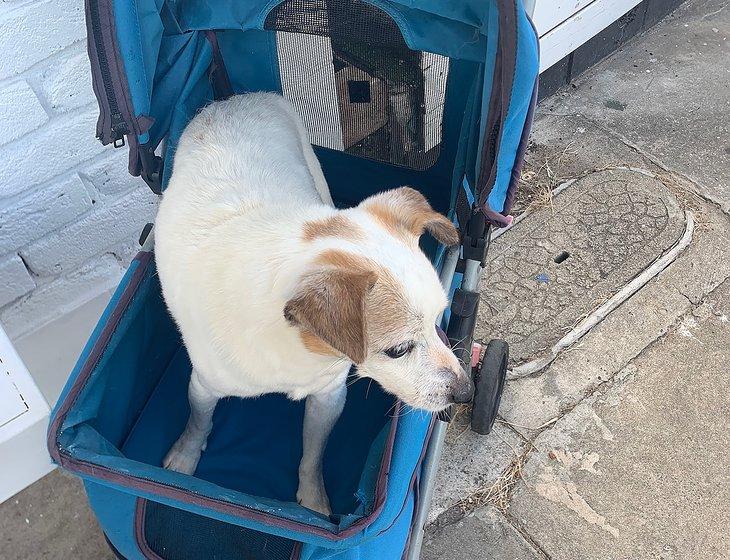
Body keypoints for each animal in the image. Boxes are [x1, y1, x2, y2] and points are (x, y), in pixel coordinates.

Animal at [154, 93, 472, 516]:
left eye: (440, 319)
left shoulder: (328, 395)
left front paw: (312, 499)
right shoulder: (204, 386)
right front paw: (185, 457)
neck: (296, 350)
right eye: (398, 350)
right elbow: (198, 421)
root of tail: (239, 98)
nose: (465, 392)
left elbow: (313, 453)